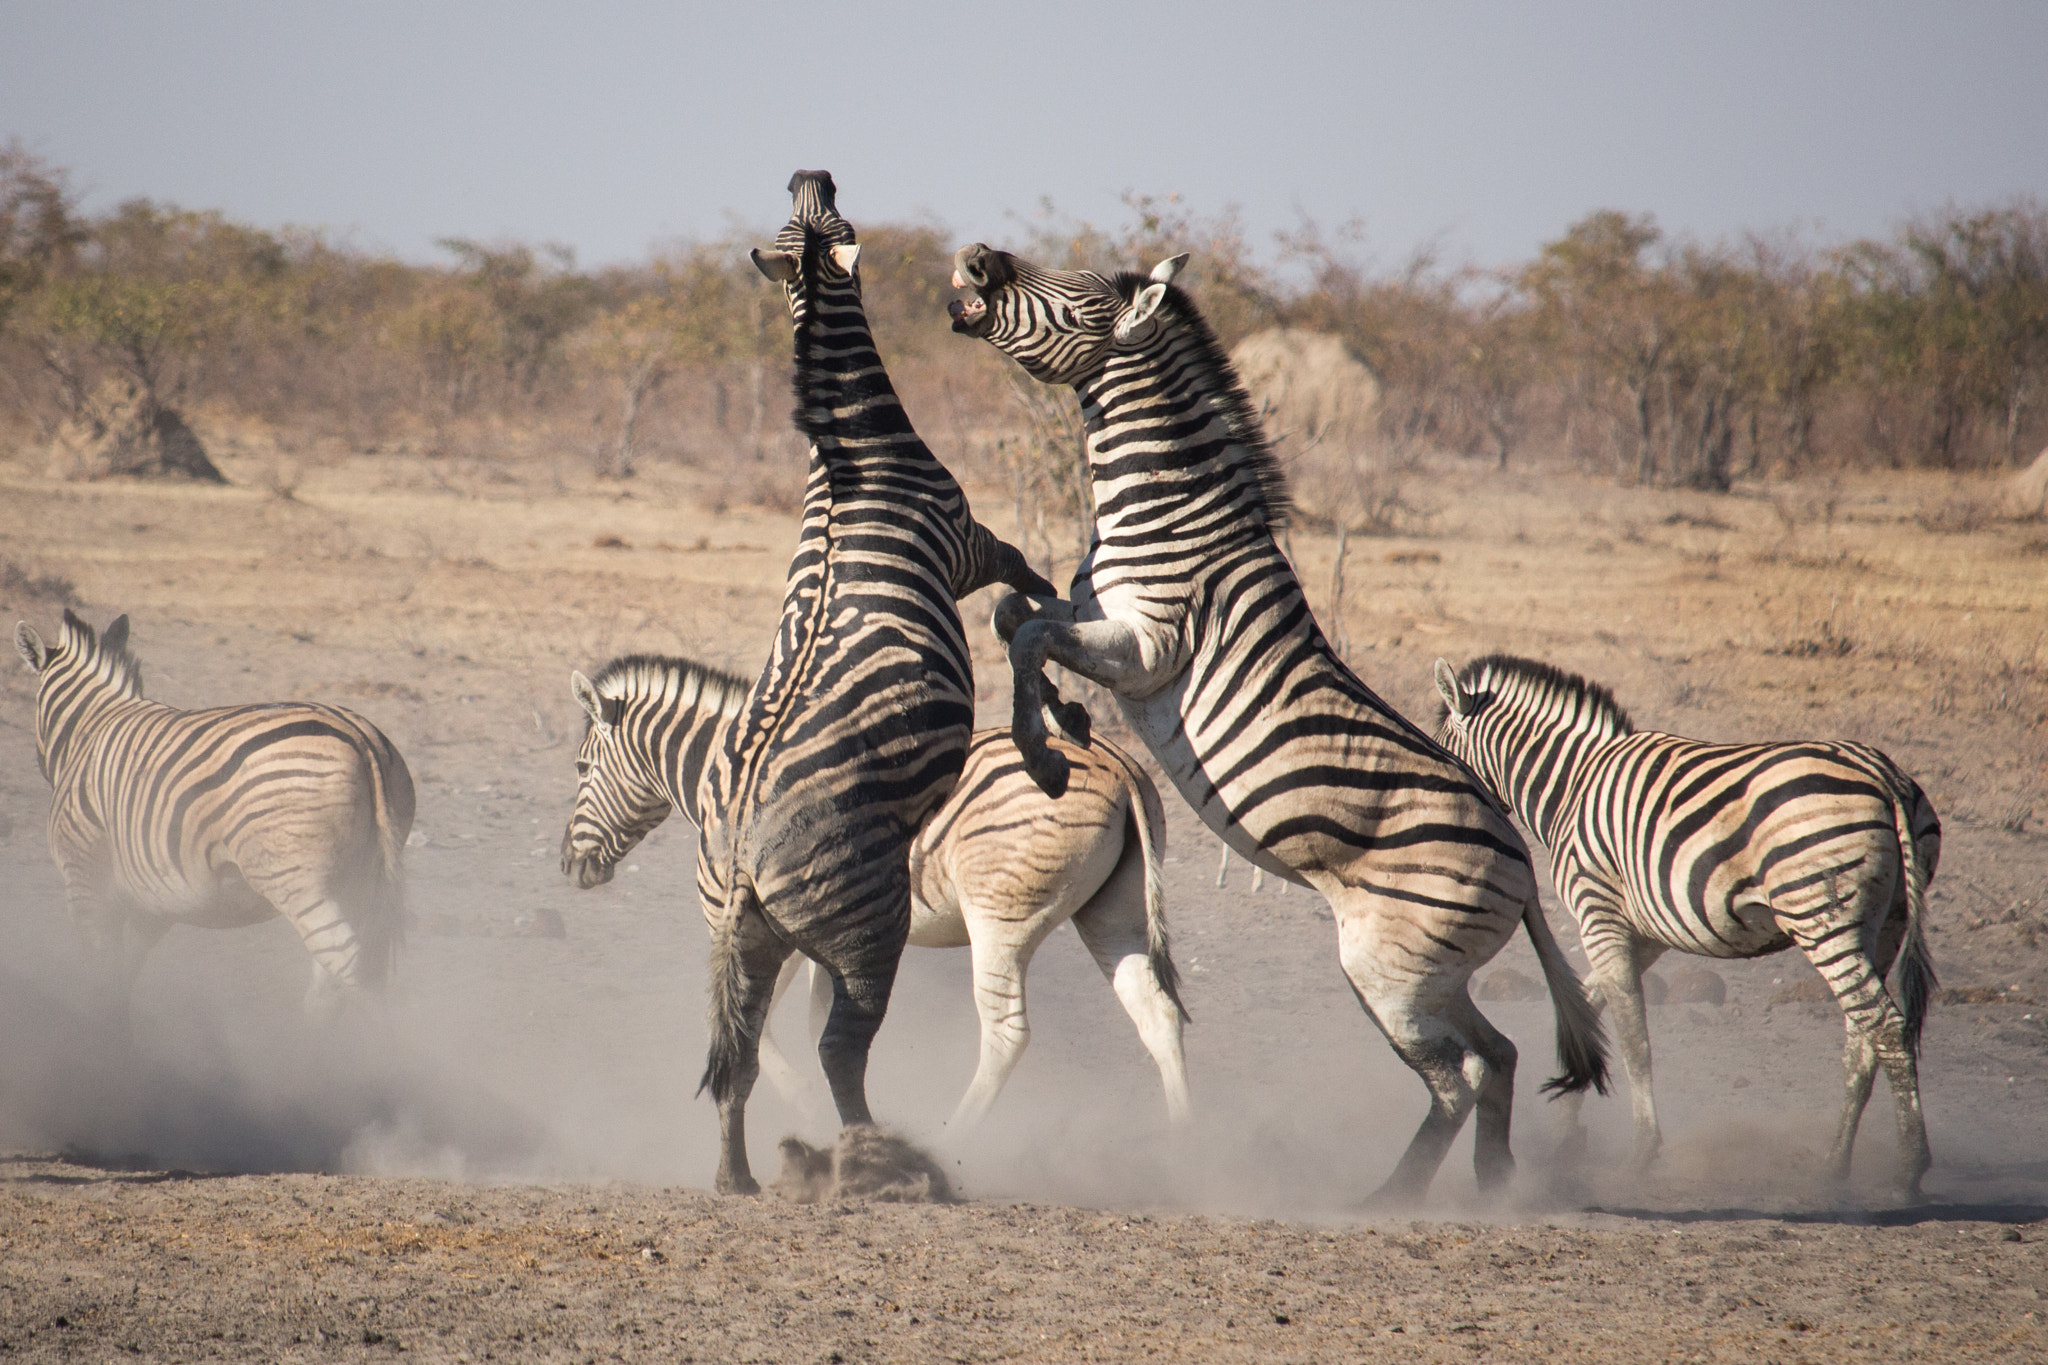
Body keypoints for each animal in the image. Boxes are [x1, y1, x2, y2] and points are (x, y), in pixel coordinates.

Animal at [13, 610, 413, 1019]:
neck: (90, 729)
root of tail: (359, 736)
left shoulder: (84, 878)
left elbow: (101, 973)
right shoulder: (151, 900)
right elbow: (122, 977)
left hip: (298, 881)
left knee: (351, 966)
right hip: (357, 878)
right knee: (334, 981)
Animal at [560, 656, 1190, 1129]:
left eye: (582, 768)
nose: (570, 866)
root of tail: (1118, 765)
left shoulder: (753, 922)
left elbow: (761, 1025)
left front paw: (809, 1108)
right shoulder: (823, 935)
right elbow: (817, 1023)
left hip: (1001, 921)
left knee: (1007, 1034)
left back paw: (955, 1141)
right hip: (1114, 911)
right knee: (1157, 1014)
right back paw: (1183, 1147)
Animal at [690, 172, 1051, 1193]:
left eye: (804, 215)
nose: (810, 170)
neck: (853, 452)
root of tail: (741, 854)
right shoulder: (968, 539)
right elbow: (1032, 581)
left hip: (743, 938)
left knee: (738, 1055)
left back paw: (738, 1179)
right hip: (868, 930)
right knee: (839, 1051)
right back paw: (875, 1158)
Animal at [949, 244, 1608, 1204]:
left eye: (1074, 298)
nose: (976, 259)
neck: (1171, 513)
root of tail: (1522, 858)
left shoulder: (1147, 646)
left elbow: (1028, 632)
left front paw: (1042, 749)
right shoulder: (1092, 614)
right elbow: (1012, 615)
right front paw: (1062, 714)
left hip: (1390, 968)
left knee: (1459, 1074)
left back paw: (1391, 1200)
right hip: (1429, 971)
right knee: (1499, 1055)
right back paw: (1492, 1184)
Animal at [1432, 652, 1940, 1193]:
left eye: (1440, 750)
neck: (1572, 783)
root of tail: (1884, 775)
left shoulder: (1599, 911)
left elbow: (1634, 1037)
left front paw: (1641, 1152)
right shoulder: (1645, 933)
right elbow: (1589, 1008)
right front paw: (1568, 1127)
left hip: (1819, 913)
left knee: (1886, 1026)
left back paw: (1908, 1169)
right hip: (1883, 925)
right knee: (1862, 1037)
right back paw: (1834, 1165)